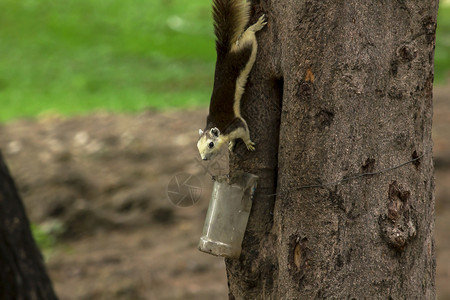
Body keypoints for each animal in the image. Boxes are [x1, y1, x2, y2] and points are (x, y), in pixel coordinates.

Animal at [196, 0, 266, 162]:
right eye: (197, 146)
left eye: (211, 144)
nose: (204, 159)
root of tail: (223, 54)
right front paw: (232, 144)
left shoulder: (235, 125)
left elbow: (245, 131)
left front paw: (248, 143)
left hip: (245, 54)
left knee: (248, 37)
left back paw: (255, 26)